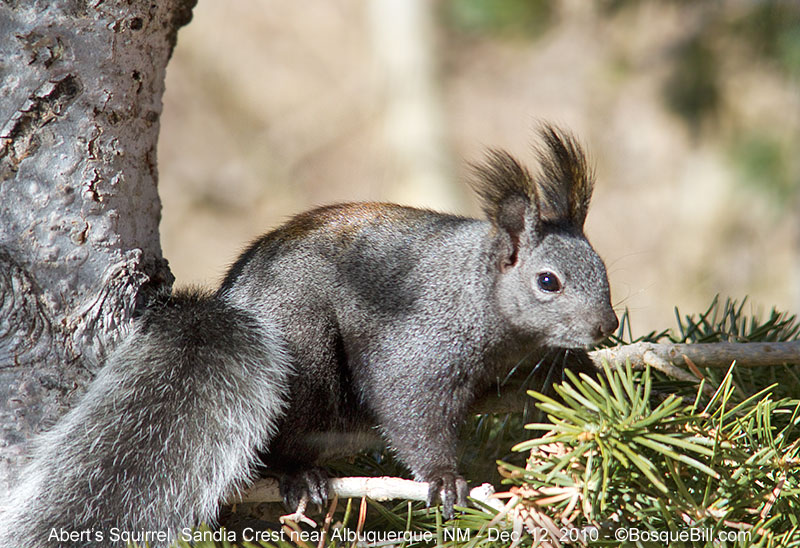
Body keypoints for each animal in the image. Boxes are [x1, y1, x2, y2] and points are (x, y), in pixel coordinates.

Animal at [0, 125, 618, 547]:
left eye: (603, 267)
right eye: (548, 281)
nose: (608, 326)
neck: (480, 296)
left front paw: (569, 370)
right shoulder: (419, 345)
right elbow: (410, 410)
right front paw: (444, 480)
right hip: (305, 358)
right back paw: (300, 476)